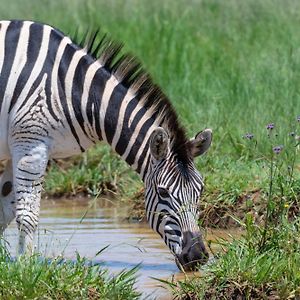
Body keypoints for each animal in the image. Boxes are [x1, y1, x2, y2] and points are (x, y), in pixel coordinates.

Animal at [0, 19, 212, 270]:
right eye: (163, 192)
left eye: (200, 190)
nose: (197, 255)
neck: (75, 92)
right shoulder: (30, 144)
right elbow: (27, 214)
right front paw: (26, 268)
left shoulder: (25, 148)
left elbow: (4, 208)